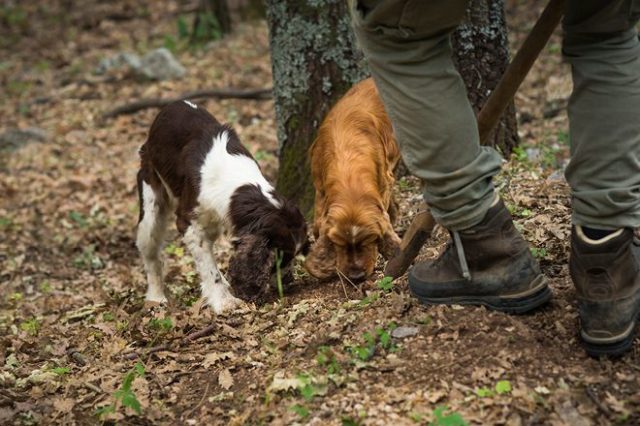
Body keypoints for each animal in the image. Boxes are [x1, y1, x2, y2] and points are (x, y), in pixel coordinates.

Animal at [135, 100, 308, 312]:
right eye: (280, 257)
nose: (290, 283)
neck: (234, 181)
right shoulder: (189, 223)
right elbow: (210, 269)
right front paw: (224, 302)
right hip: (150, 204)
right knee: (151, 253)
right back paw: (156, 297)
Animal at [304, 77, 400, 282]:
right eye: (340, 244)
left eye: (370, 239)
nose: (357, 276)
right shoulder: (320, 188)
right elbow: (317, 224)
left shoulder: (384, 180)